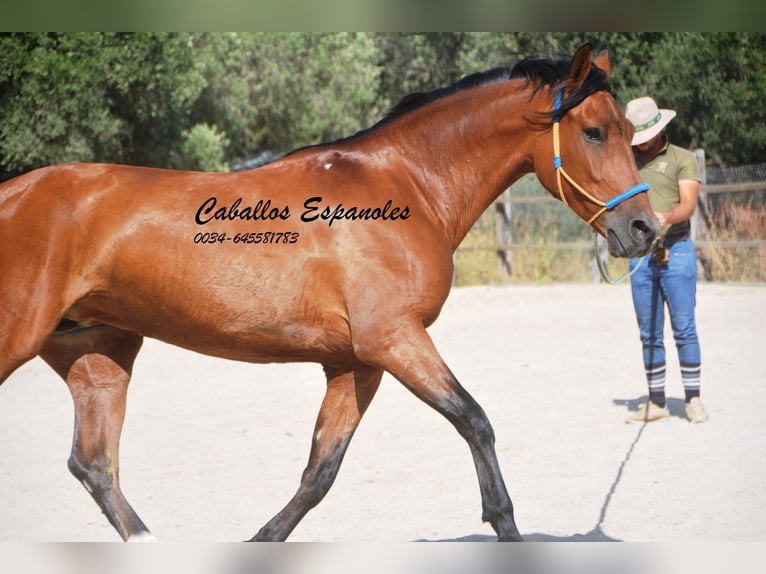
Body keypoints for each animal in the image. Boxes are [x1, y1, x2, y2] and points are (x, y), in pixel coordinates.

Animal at [0, 42, 660, 544]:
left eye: (631, 131)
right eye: (594, 132)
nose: (643, 229)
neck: (407, 186)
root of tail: (14, 193)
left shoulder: (355, 363)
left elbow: (321, 471)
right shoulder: (395, 340)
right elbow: (475, 422)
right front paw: (505, 524)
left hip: (98, 353)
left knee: (94, 465)